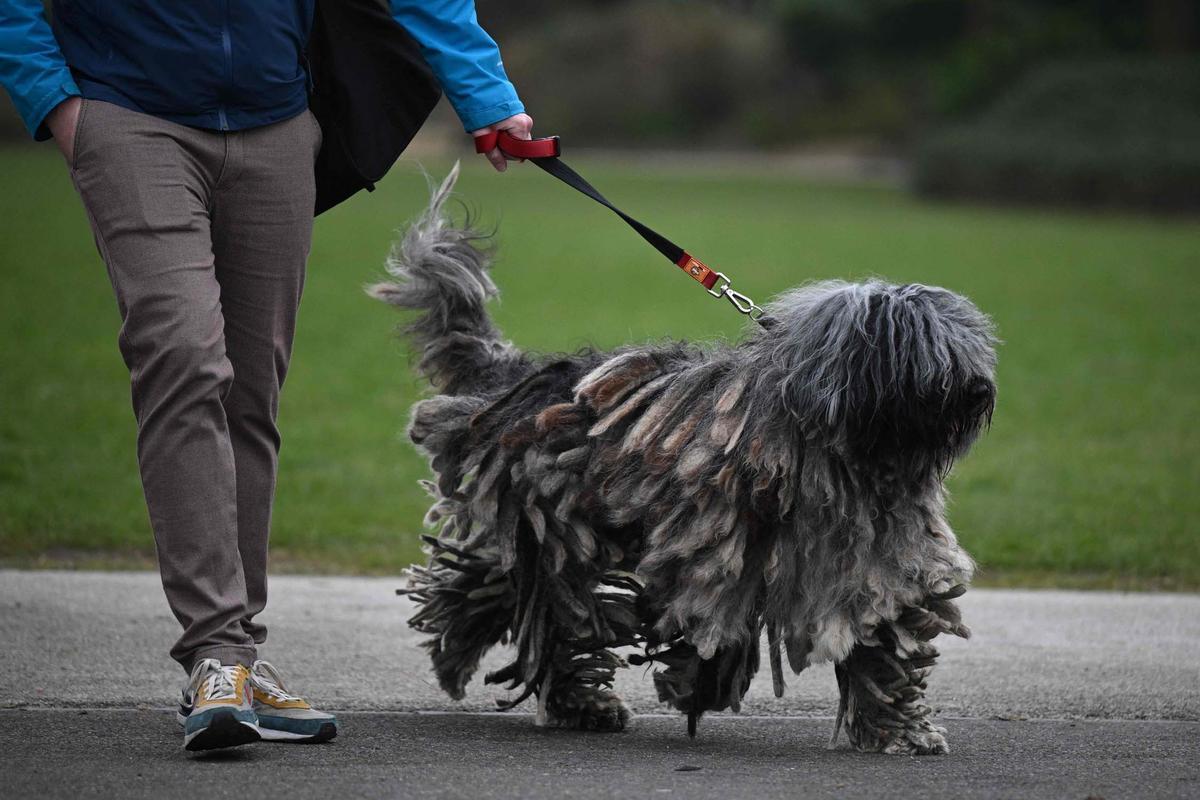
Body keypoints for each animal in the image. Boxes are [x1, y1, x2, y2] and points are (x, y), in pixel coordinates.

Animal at [369, 165, 998, 753]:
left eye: (964, 342)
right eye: (917, 345)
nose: (978, 389)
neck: (837, 449)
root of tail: (514, 377)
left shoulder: (876, 557)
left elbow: (884, 639)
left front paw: (900, 728)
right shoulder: (715, 551)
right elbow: (711, 621)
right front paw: (699, 682)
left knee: (539, 609)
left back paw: (570, 699)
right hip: (542, 529)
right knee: (519, 597)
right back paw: (461, 650)